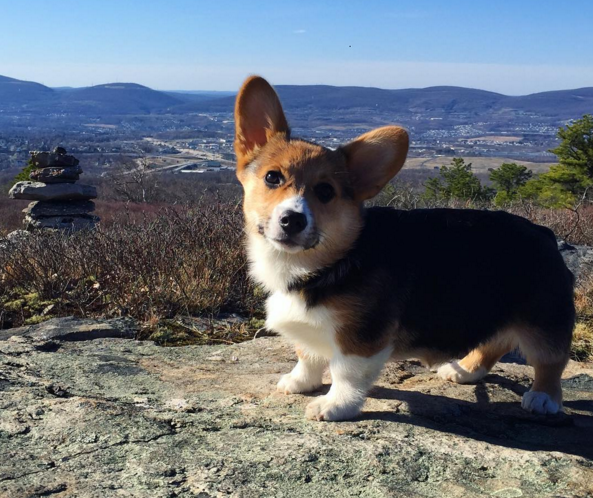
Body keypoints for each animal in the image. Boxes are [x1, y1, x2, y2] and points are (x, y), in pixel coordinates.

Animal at [232, 76, 572, 422]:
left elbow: (345, 374)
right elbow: (308, 355)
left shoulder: (361, 339)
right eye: (272, 177)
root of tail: (545, 233)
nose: (292, 220)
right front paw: (300, 382)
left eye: (326, 191)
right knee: (495, 342)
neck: (329, 262)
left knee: (551, 359)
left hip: (544, 320)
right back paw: (464, 370)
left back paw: (543, 397)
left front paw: (334, 405)